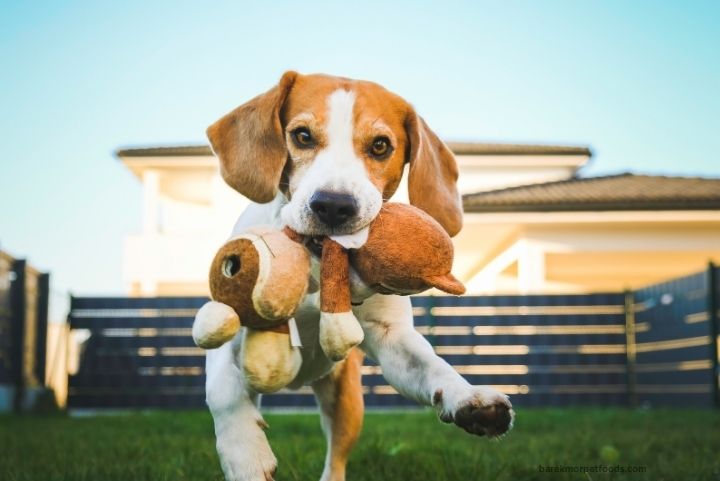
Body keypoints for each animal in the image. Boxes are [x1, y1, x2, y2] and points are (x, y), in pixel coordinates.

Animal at [205, 71, 516, 480]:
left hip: (346, 400)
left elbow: (432, 365)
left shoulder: (391, 339)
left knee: (336, 458)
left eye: (381, 146)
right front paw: (244, 453)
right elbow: (223, 393)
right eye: (302, 136)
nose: (334, 205)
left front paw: (468, 397)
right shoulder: (227, 330)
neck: (318, 264)